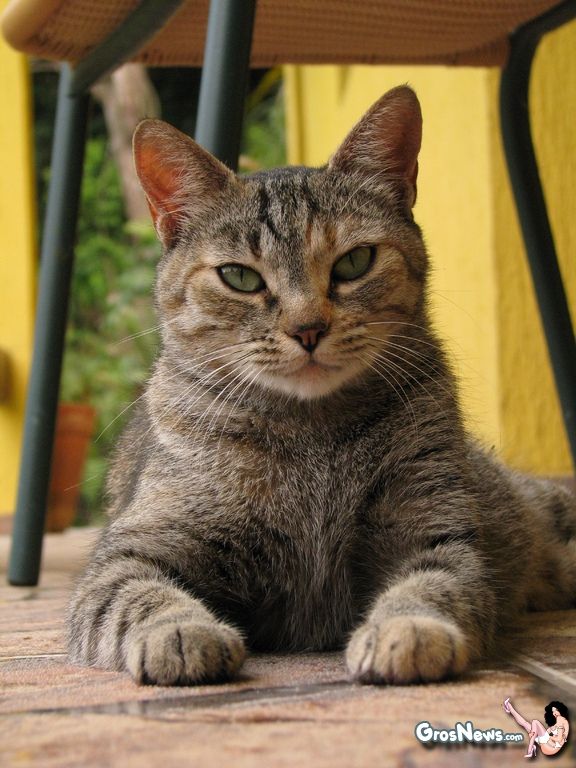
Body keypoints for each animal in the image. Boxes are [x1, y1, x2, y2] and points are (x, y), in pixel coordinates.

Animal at [67, 86, 576, 686]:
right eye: (239, 276)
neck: (311, 432)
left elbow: (433, 584)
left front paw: (407, 629)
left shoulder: (436, 528)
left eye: (355, 262)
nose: (308, 328)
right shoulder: (135, 548)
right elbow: (137, 594)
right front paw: (179, 631)